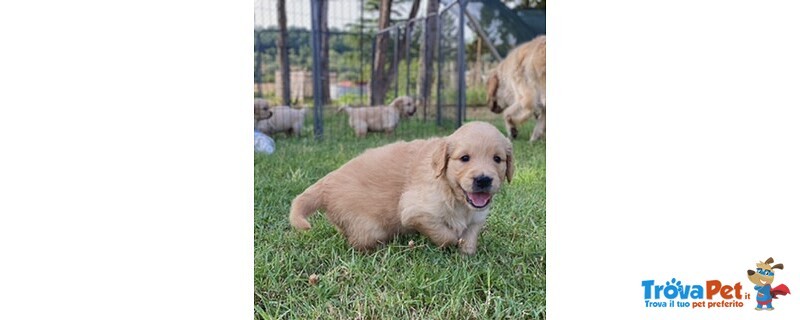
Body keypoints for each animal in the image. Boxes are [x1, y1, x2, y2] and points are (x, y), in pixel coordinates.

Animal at [290, 121, 516, 254]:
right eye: (464, 158)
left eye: (497, 159)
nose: (483, 180)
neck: (454, 195)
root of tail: (327, 182)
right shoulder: (415, 210)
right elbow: (445, 235)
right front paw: (453, 242)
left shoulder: (477, 218)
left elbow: (469, 238)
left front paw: (466, 255)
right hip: (368, 226)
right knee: (358, 240)